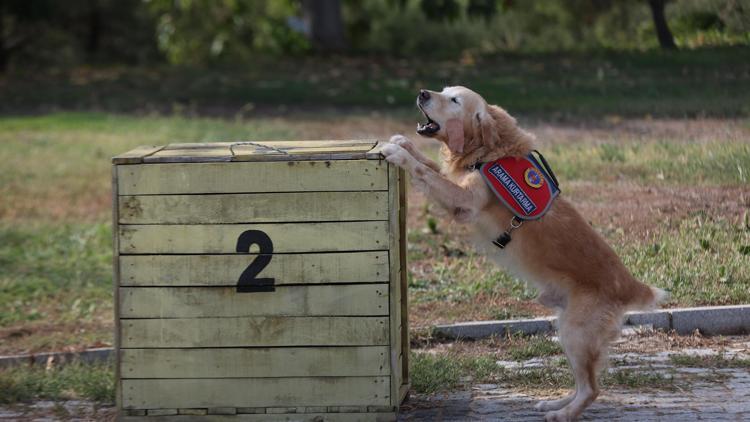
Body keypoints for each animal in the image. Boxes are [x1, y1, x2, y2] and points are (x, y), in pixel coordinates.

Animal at [384, 86, 668, 422]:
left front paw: (399, 153)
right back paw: (557, 403)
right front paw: (403, 143)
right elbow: (428, 165)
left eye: (454, 100)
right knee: (583, 382)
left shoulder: (464, 201)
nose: (423, 93)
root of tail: (630, 285)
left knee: (592, 388)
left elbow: (425, 172)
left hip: (576, 333)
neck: (487, 151)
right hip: (566, 331)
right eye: (443, 90)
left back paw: (563, 414)